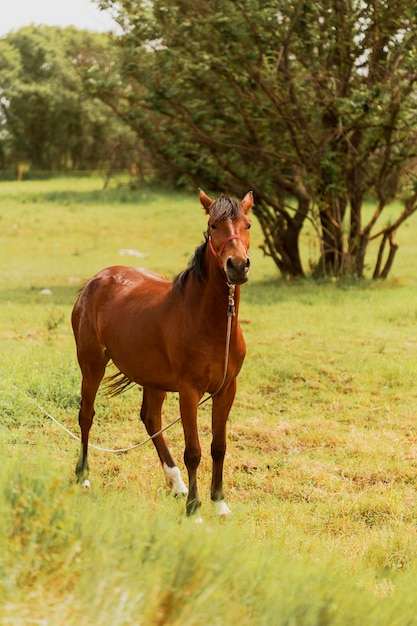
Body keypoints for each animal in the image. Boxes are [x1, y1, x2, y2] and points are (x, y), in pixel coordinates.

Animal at [71, 188, 252, 516]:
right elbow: (193, 451)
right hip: (92, 366)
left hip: (153, 379)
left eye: (248, 225)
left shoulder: (226, 389)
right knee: (86, 415)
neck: (211, 322)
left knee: (151, 419)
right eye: (213, 226)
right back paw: (84, 477)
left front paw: (219, 503)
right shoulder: (189, 391)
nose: (237, 265)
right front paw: (194, 510)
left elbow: (218, 447)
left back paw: (177, 484)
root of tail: (95, 280)